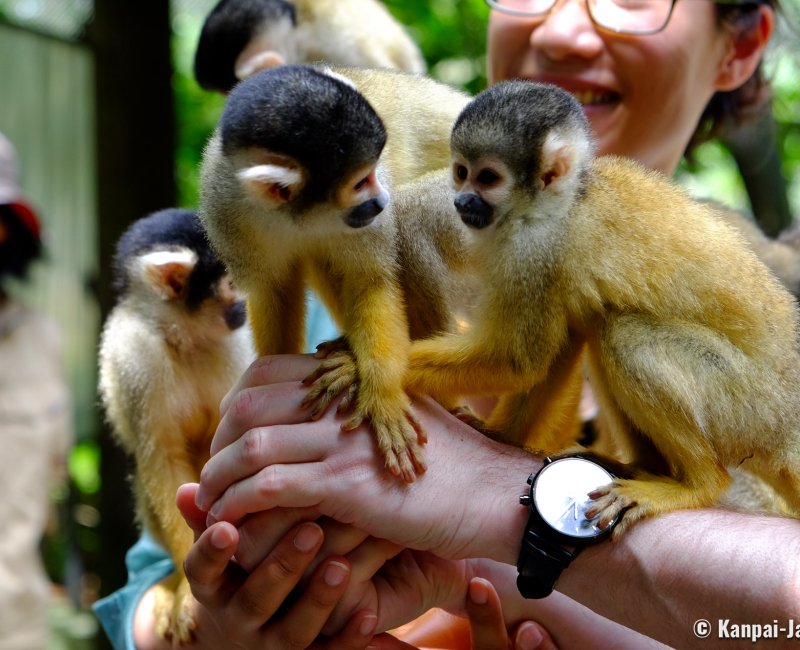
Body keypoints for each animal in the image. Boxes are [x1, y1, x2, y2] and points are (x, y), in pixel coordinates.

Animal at [98, 208, 255, 643]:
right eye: (232, 279)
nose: (250, 300)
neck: (184, 336)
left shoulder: (235, 348)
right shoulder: (137, 356)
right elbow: (161, 459)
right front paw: (187, 586)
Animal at [198, 64, 473, 482]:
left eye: (374, 172)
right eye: (359, 182)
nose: (380, 200)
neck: (297, 215)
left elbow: (371, 279)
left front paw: (381, 395)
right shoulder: (225, 208)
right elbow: (274, 290)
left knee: (408, 218)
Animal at [403, 79, 800, 537]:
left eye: (487, 178)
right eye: (461, 172)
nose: (462, 202)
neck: (560, 202)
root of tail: (788, 426)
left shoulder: (535, 250)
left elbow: (519, 359)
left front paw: (373, 371)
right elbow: (557, 348)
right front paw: (497, 436)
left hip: (746, 407)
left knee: (624, 335)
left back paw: (697, 484)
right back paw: (643, 468)